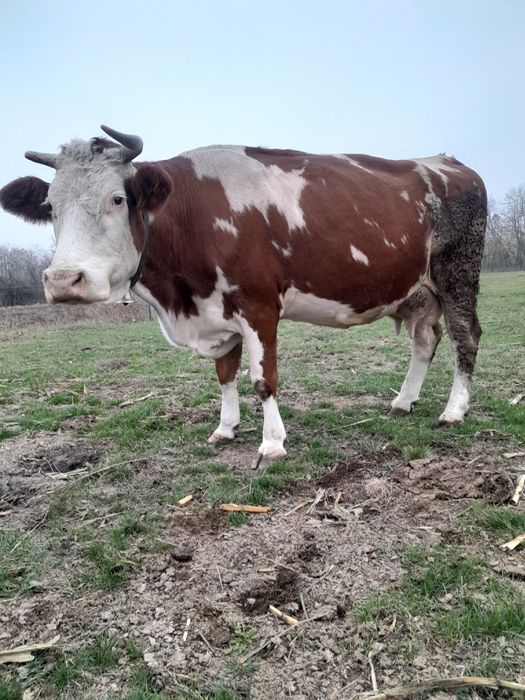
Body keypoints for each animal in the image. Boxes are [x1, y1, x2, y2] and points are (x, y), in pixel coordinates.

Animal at [0, 126, 486, 465]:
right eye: (50, 207)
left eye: (118, 198)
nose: (64, 280)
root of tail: (449, 162)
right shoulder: (217, 313)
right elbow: (225, 375)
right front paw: (226, 428)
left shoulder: (259, 306)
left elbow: (262, 379)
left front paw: (272, 443)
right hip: (417, 292)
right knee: (425, 340)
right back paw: (404, 401)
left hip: (458, 275)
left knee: (466, 337)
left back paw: (454, 410)